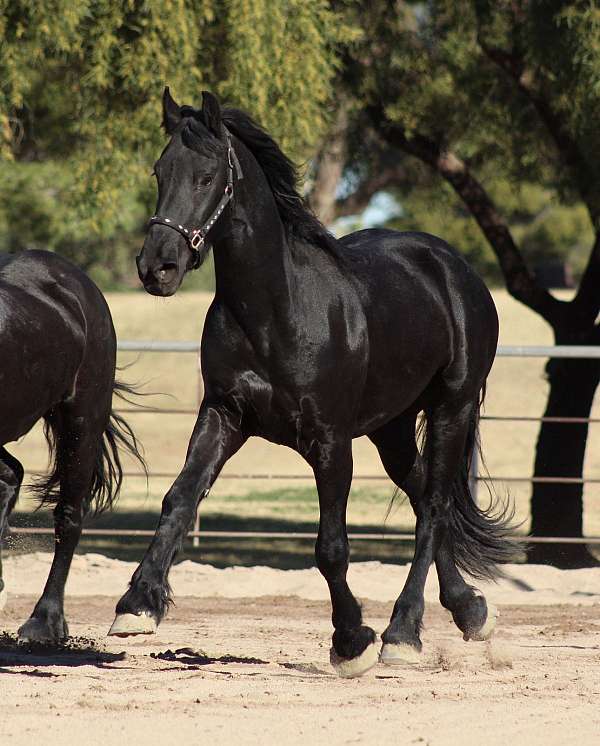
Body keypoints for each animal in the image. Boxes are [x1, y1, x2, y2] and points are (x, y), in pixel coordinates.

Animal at [109, 88, 516, 677]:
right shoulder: (224, 415)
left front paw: (352, 642)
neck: (276, 310)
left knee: (435, 509)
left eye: (206, 177)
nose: (156, 267)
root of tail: (454, 267)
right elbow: (179, 499)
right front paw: (137, 606)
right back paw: (470, 611)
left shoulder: (329, 441)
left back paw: (402, 633)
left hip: (451, 409)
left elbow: (331, 547)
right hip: (391, 428)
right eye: (160, 171)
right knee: (423, 498)